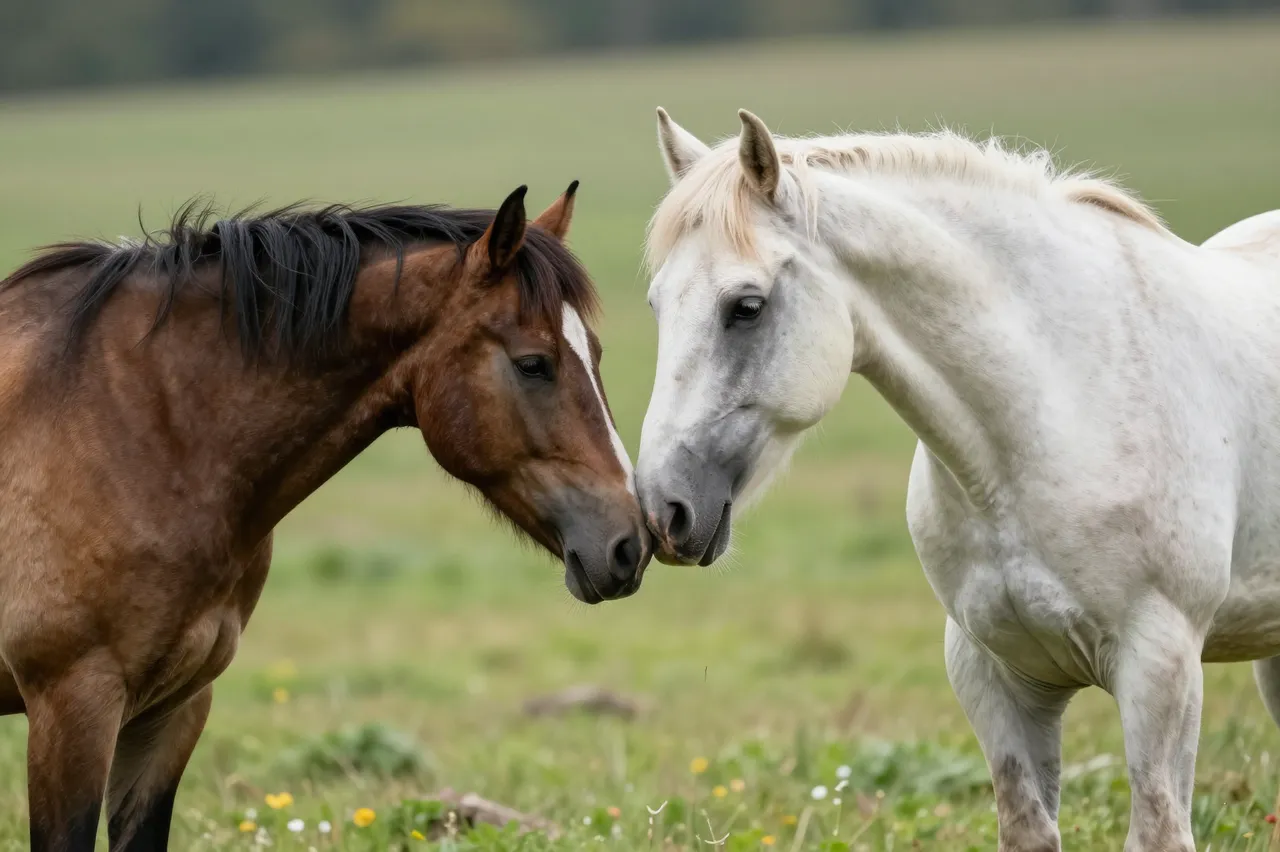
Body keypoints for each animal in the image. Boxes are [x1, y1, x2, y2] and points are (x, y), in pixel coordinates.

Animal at [0, 182, 650, 851]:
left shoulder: (174, 707)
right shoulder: (74, 705)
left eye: (596, 353)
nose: (631, 542)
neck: (142, 428)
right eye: (533, 364)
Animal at [634, 107, 1280, 851]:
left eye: (746, 306)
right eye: (657, 305)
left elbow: (1158, 828)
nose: (663, 510)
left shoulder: (1161, 668)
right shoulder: (992, 674)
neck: (1058, 407)